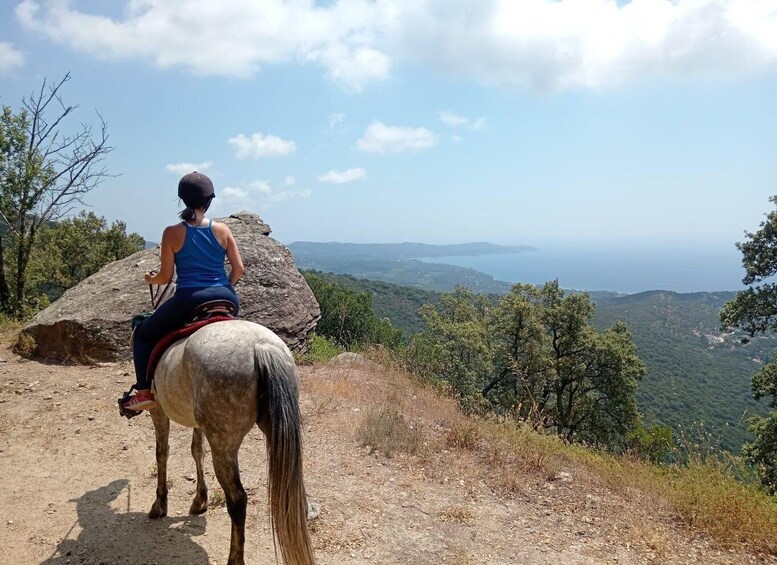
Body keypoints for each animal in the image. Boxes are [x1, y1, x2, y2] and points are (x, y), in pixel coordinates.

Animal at [145, 319, 316, 565]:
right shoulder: (197, 422)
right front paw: (200, 500)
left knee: (237, 500)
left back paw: (235, 558)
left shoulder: (157, 408)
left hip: (224, 445)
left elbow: (162, 452)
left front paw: (160, 505)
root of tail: (261, 346)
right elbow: (197, 450)